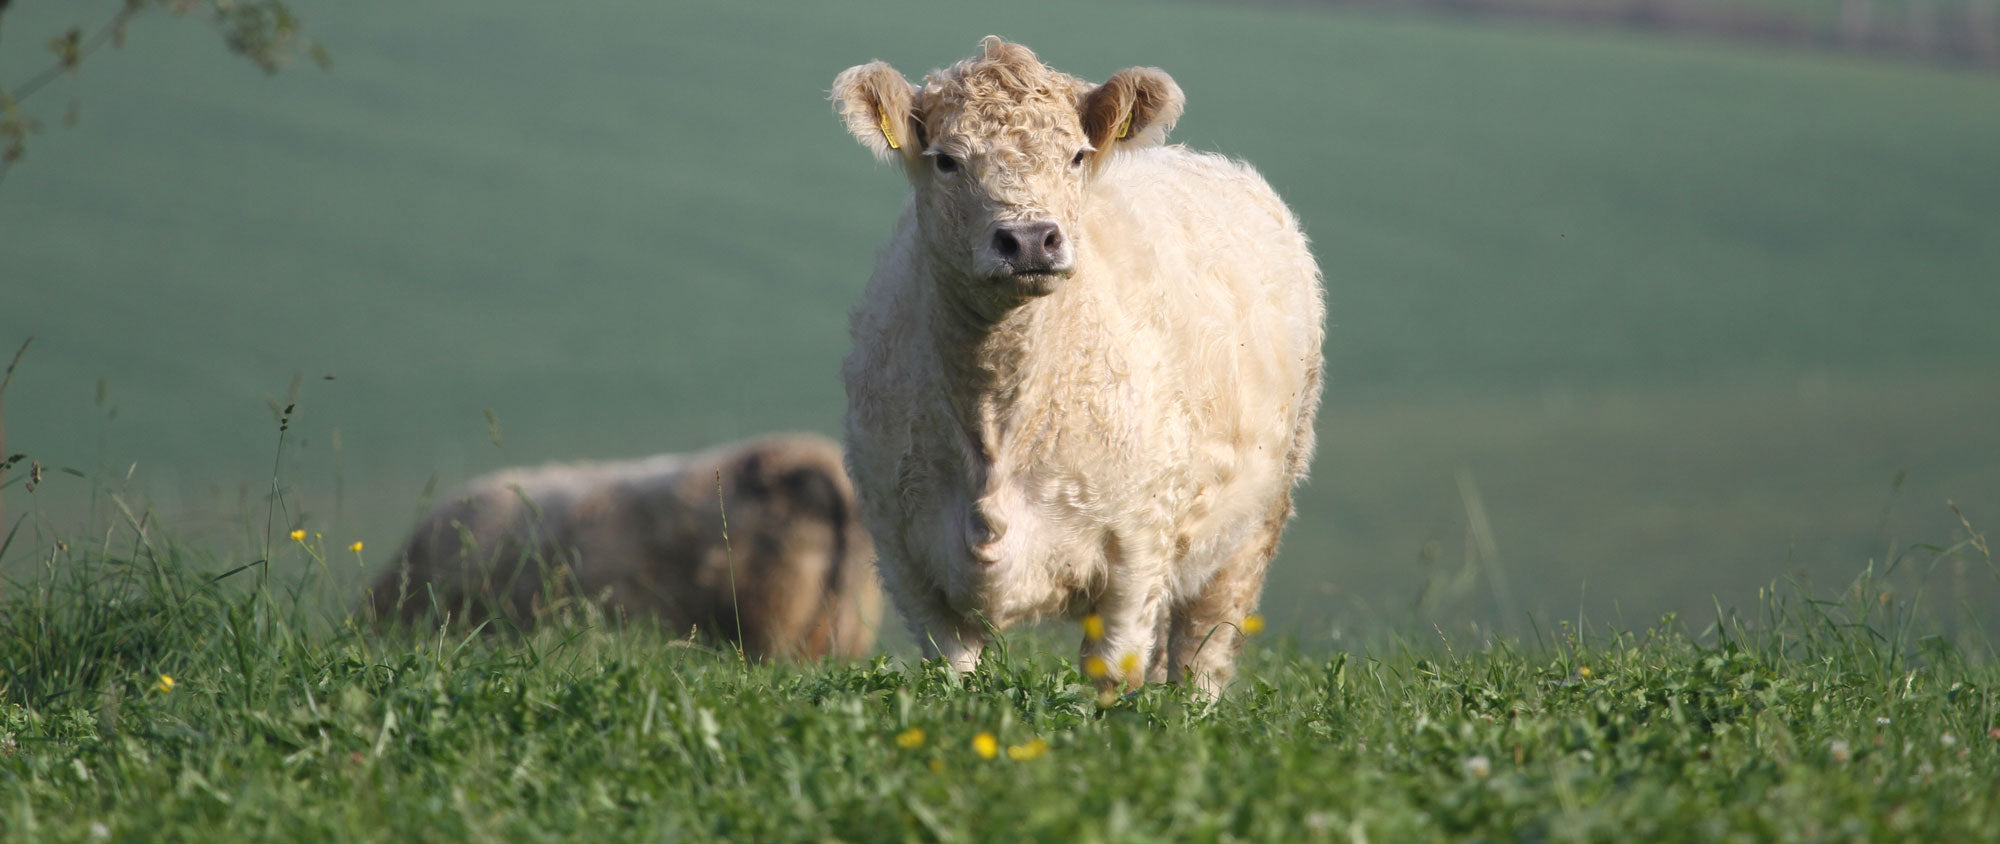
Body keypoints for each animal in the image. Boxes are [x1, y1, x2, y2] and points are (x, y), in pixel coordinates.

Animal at [831, 37, 1325, 696]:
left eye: (1074, 156)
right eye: (947, 161)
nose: (1029, 239)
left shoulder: (1136, 548)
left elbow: (1111, 677)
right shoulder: (909, 558)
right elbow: (954, 675)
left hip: (1255, 519)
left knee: (1203, 649)